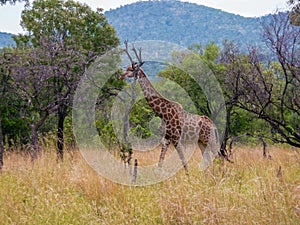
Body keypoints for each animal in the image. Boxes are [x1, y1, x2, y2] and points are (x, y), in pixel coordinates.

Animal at [120, 43, 220, 171]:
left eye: (131, 69)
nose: (121, 76)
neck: (162, 113)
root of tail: (214, 126)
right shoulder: (166, 138)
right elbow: (161, 161)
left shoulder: (176, 137)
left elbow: (183, 160)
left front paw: (188, 175)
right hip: (201, 141)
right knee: (208, 157)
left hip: (209, 140)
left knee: (217, 155)